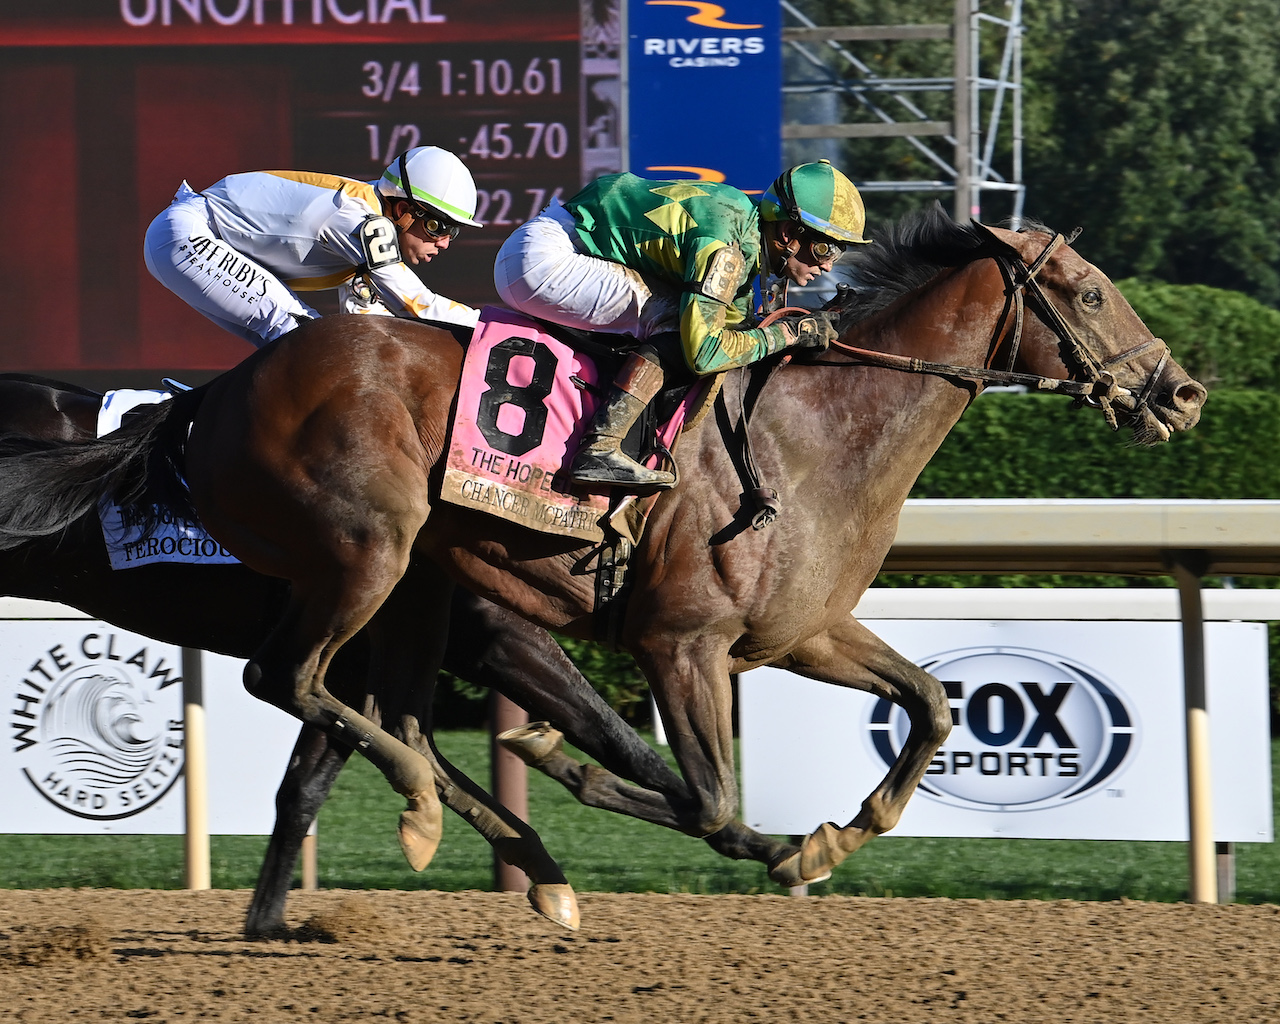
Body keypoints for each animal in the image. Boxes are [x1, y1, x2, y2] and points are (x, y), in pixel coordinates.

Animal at [0, 213, 1203, 885]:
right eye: (1089, 291)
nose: (1181, 392)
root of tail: (207, 398)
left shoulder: (800, 632)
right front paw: (567, 767)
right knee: (289, 679)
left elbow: (932, 704)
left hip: (409, 588)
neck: (815, 435)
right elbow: (699, 794)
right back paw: (437, 806)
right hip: (367, 554)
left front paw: (843, 830)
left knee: (362, 709)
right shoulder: (681, 642)